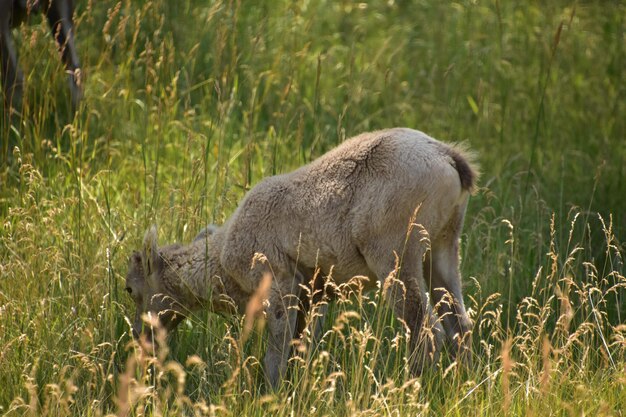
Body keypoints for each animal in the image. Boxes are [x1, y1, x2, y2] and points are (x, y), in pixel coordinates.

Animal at [127, 127, 478, 386]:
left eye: (130, 289)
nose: (141, 339)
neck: (225, 261)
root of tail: (449, 158)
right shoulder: (312, 297)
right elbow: (300, 350)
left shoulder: (280, 287)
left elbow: (277, 353)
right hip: (442, 251)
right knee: (460, 327)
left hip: (396, 258)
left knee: (427, 332)